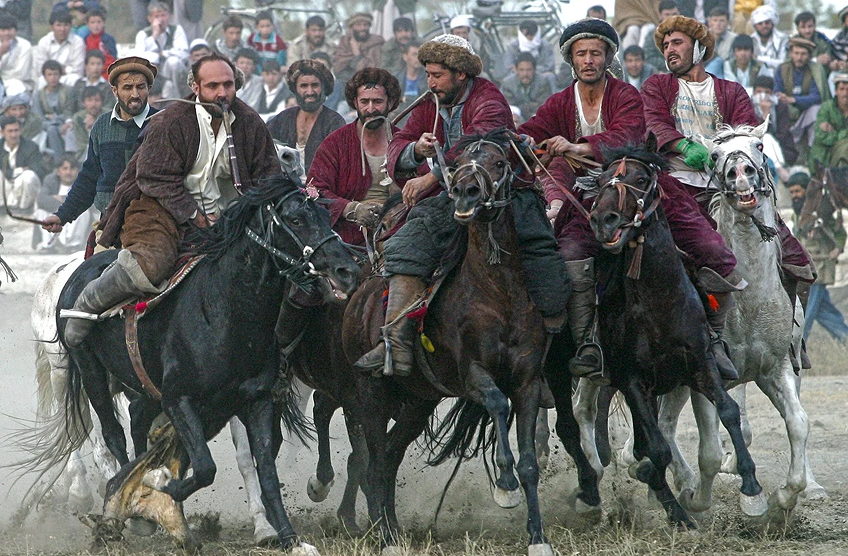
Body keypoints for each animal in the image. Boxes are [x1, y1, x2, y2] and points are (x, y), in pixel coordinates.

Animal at [17, 176, 359, 551]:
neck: (225, 312)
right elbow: (205, 467)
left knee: (135, 420)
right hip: (86, 371)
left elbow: (265, 470)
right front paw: (155, 484)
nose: (347, 269)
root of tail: (74, 274)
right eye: (296, 220)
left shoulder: (256, 401)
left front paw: (288, 537)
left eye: (325, 216)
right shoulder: (179, 400)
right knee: (110, 435)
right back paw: (122, 507)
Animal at [344, 128, 555, 556]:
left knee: (389, 457)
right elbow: (497, 402)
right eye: (457, 163)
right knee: (374, 462)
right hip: (371, 397)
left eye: (499, 162)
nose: (465, 193)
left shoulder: (527, 382)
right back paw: (385, 538)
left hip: (416, 402)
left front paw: (537, 537)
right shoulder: (472, 375)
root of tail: (360, 296)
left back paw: (392, 530)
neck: (498, 294)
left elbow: (529, 462)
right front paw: (504, 484)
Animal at [573, 135, 768, 528]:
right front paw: (675, 507)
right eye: (600, 181)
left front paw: (751, 485)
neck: (658, 301)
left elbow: (728, 411)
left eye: (642, 179)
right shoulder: (634, 382)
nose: (603, 220)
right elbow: (657, 448)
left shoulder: (701, 364)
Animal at [652, 123, 824, 522]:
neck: (747, 296)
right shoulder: (706, 378)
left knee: (664, 424)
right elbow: (711, 451)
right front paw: (702, 499)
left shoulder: (775, 368)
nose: (740, 173)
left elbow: (798, 423)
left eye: (759, 146)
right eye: (714, 156)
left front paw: (785, 496)